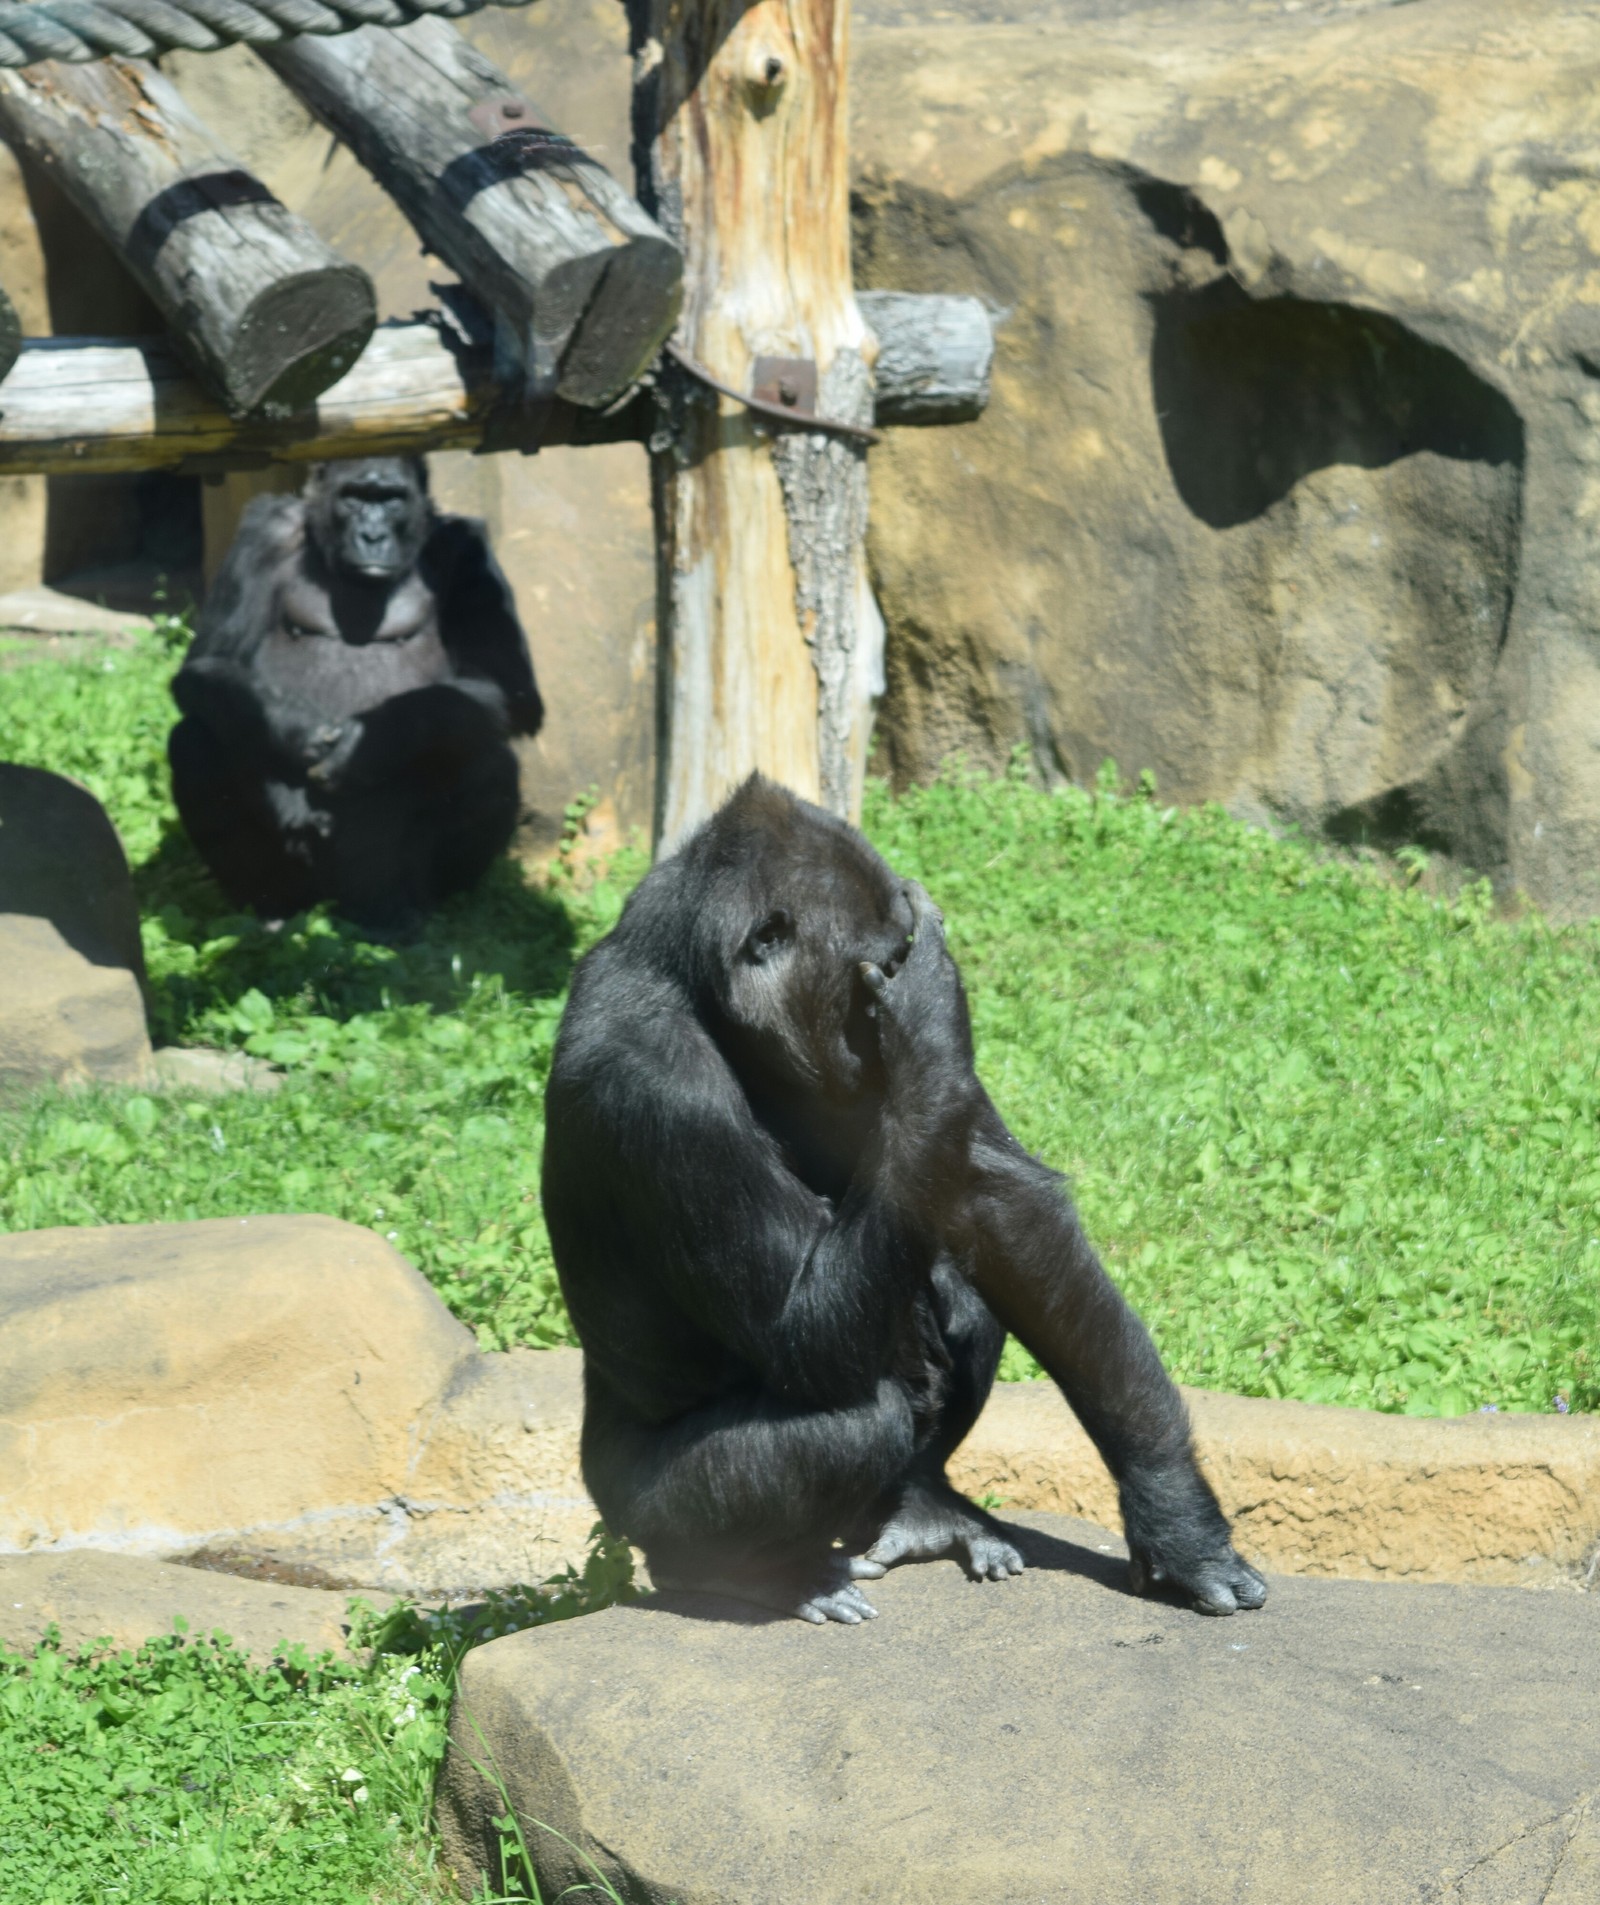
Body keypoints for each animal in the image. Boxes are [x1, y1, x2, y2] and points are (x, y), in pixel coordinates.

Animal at [170, 461, 544, 937]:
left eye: (391, 499)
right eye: (354, 496)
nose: (372, 535)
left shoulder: (468, 552)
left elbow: (507, 689)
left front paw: (373, 741)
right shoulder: (263, 532)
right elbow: (208, 663)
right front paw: (297, 733)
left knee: (488, 758)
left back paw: (406, 915)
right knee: (194, 741)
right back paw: (271, 910)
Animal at [544, 773, 1272, 1623]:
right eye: (879, 974)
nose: (878, 1038)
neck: (697, 987)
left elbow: (1002, 1205)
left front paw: (1176, 1517)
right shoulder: (658, 1081)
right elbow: (802, 1333)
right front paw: (929, 1009)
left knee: (960, 1289)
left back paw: (917, 1503)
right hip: (635, 1509)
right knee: (855, 1422)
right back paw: (744, 1573)